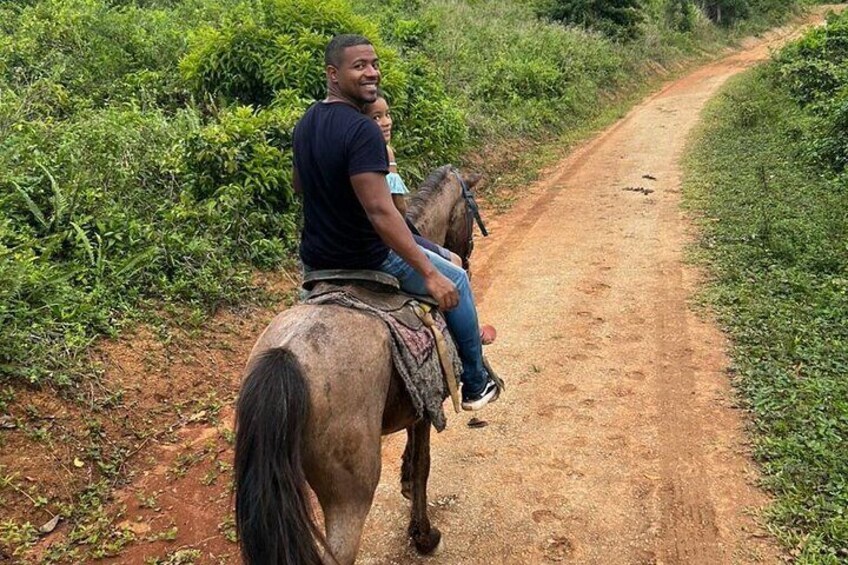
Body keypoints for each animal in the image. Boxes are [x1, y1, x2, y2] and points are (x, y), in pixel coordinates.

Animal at [234, 166, 484, 564]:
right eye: (470, 210)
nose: (468, 256)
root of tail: (284, 358)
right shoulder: (428, 404)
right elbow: (424, 465)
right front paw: (423, 536)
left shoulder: (416, 402)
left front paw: (405, 485)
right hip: (349, 493)